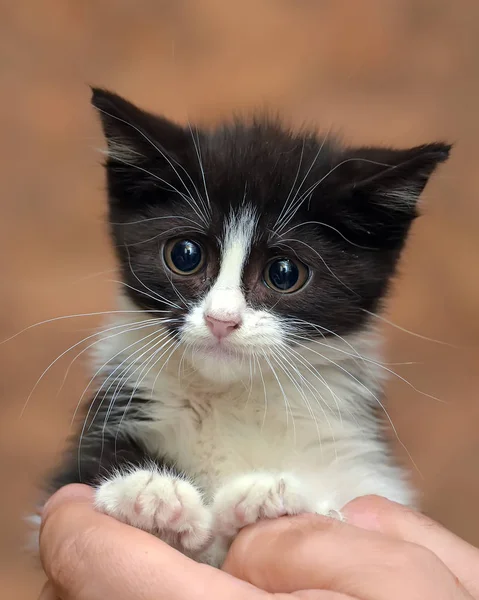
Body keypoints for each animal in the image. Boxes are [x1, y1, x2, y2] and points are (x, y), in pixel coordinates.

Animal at [47, 86, 452, 564]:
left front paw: (271, 498)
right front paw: (147, 493)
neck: (232, 399)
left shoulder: (363, 462)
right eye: (185, 254)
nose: (222, 319)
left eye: (284, 273)